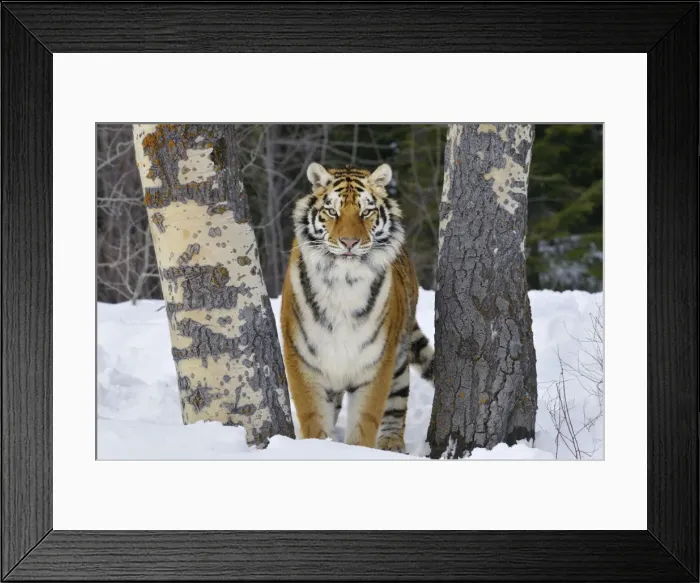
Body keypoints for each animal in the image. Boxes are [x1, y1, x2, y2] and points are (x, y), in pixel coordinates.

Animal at [280, 162, 435, 453]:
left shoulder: (376, 363)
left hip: (398, 358)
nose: (349, 242)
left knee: (397, 403)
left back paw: (390, 444)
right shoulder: (303, 360)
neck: (344, 283)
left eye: (366, 212)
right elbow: (313, 417)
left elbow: (365, 421)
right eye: (332, 211)